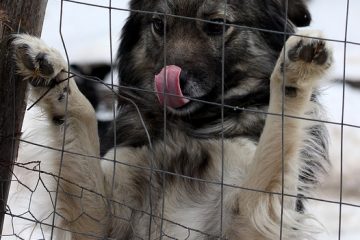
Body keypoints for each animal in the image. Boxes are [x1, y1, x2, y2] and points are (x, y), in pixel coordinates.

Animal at [4, 0, 334, 239]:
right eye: (159, 25)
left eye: (216, 24)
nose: (171, 80)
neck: (188, 128)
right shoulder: (99, 219)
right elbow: (82, 115)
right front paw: (53, 74)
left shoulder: (250, 218)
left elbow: (277, 136)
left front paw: (295, 72)